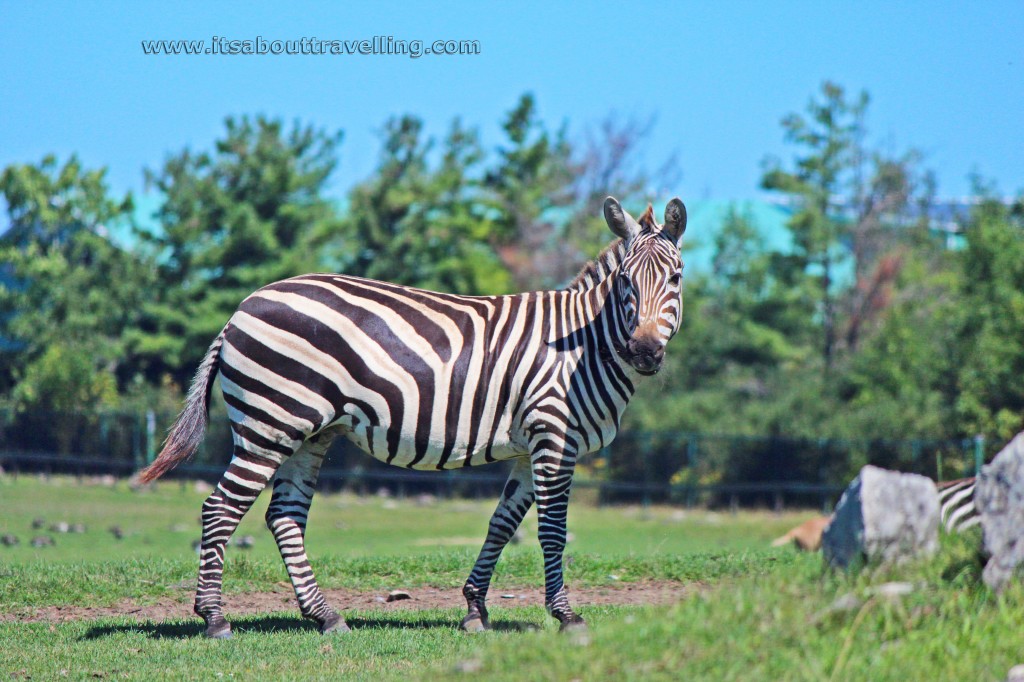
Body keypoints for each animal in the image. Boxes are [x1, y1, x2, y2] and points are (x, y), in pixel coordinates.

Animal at [136, 195, 688, 638]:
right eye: (624, 281)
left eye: (676, 278)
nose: (644, 352)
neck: (585, 346)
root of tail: (239, 310)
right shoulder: (554, 436)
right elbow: (552, 529)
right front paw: (565, 615)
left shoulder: (530, 447)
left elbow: (501, 523)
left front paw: (474, 609)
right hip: (270, 424)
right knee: (220, 509)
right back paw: (214, 618)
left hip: (308, 432)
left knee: (284, 515)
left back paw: (325, 616)